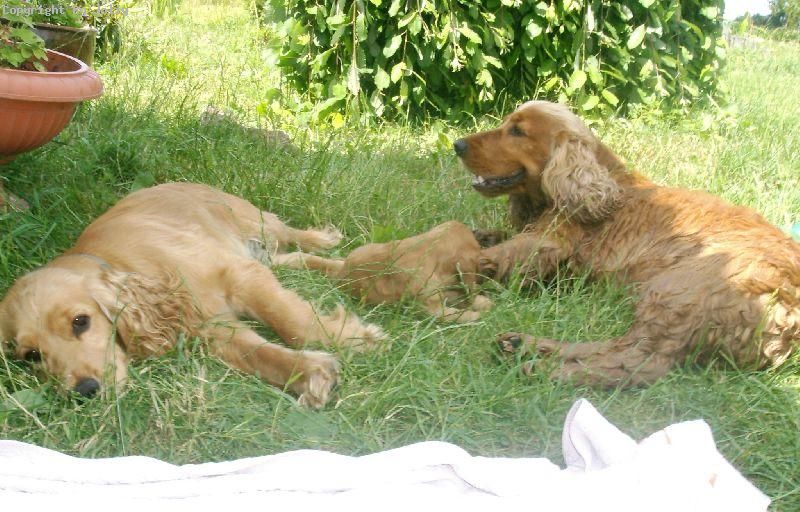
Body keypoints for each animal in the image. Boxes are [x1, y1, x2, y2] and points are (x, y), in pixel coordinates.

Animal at [0, 182, 385, 408]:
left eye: (81, 322)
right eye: (32, 356)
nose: (84, 393)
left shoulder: (240, 275)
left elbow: (291, 321)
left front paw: (350, 337)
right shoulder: (213, 328)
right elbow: (259, 355)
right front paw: (311, 373)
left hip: (255, 223)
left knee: (290, 232)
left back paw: (324, 238)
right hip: (264, 254)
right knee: (298, 260)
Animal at [275, 221, 492, 322]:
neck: (430, 248)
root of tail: (341, 274)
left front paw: (482, 302)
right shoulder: (431, 308)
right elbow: (457, 313)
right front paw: (480, 313)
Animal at [454, 100, 800, 386]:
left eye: (517, 131)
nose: (457, 144)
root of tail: (789, 315)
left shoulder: (548, 242)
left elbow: (496, 255)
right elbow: (493, 236)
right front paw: (477, 235)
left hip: (678, 290)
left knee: (637, 362)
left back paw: (546, 368)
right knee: (615, 346)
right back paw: (523, 345)